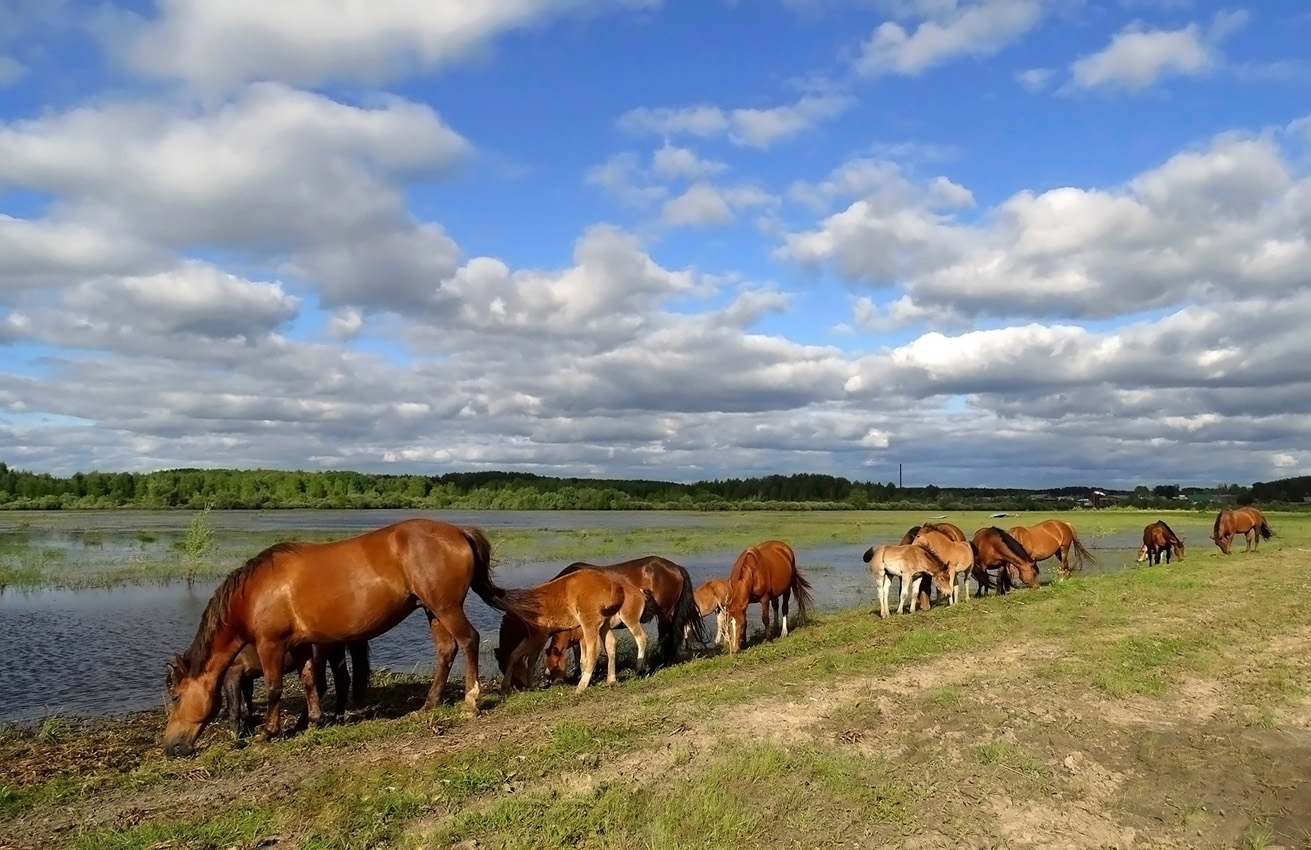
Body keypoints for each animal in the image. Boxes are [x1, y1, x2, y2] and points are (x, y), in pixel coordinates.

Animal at [218, 640, 364, 734]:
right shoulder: (246, 676)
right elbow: (246, 702)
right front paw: (247, 727)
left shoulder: (233, 672)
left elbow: (234, 707)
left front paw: (236, 738)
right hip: (335, 652)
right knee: (342, 681)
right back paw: (337, 718)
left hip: (318, 658)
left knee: (319, 686)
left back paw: (302, 725)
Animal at [492, 566, 652, 692]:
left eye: (502, 664)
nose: (517, 686)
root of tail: (613, 585)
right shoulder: (541, 639)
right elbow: (531, 659)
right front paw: (531, 685)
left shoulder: (538, 636)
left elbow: (516, 654)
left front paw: (505, 686)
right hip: (604, 625)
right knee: (611, 645)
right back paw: (611, 680)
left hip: (601, 623)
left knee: (607, 648)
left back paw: (582, 686)